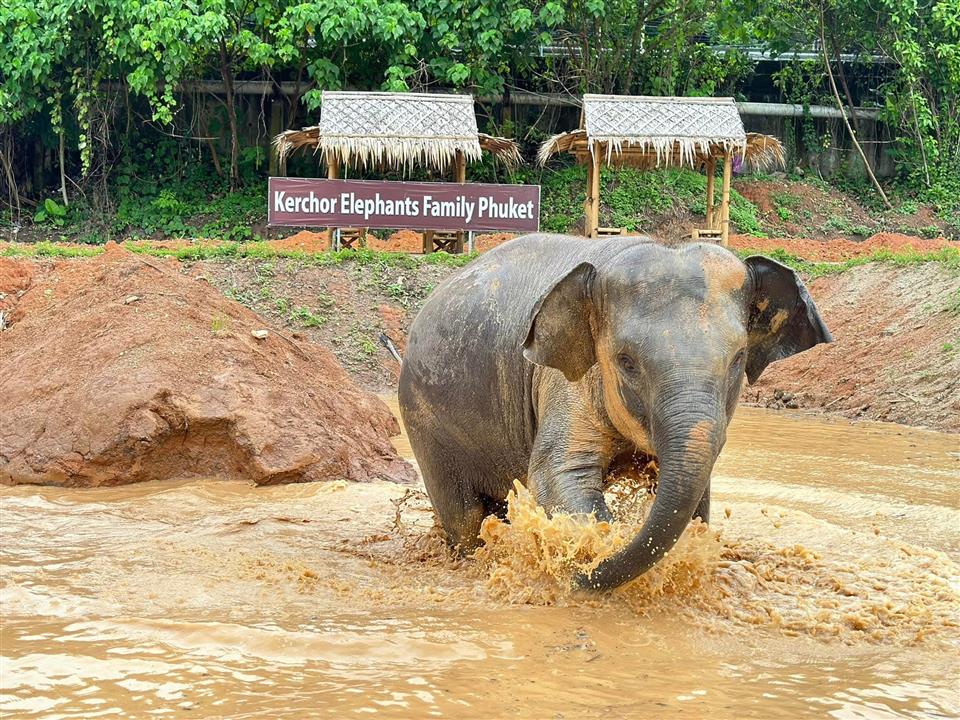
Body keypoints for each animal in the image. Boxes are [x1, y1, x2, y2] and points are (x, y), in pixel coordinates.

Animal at [398, 234, 831, 591]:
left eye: (738, 358)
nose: (575, 576)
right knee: (465, 517)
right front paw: (595, 545)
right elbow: (557, 474)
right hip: (426, 423)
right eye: (626, 361)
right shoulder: (563, 377)